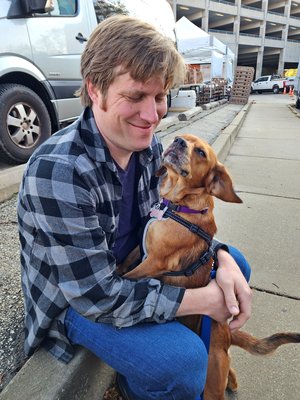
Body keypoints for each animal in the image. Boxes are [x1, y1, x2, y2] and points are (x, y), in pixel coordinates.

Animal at [118, 135, 298, 400]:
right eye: (181, 139)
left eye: (201, 153)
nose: (178, 140)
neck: (178, 205)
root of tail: (225, 334)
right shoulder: (141, 250)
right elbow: (124, 263)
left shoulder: (154, 262)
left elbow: (129, 276)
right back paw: (233, 382)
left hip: (211, 381)